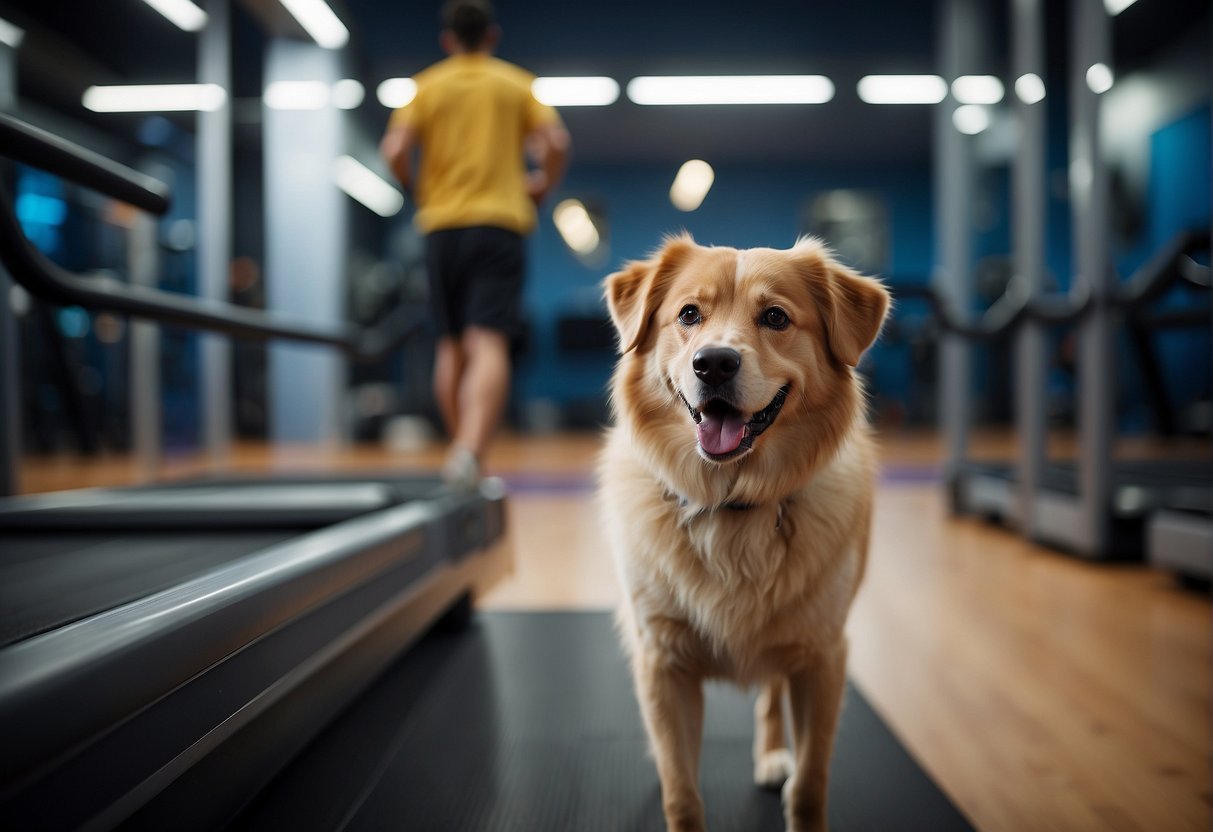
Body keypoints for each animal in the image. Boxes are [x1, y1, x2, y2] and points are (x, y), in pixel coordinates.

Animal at [599, 235, 892, 832]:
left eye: (775, 316)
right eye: (689, 314)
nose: (713, 363)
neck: (731, 505)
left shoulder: (821, 657)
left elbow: (810, 787)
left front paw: (796, 785)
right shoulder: (662, 661)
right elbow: (681, 792)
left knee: (771, 693)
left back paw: (773, 753)